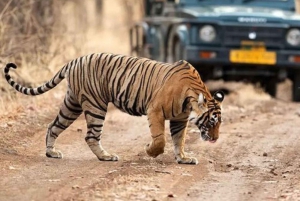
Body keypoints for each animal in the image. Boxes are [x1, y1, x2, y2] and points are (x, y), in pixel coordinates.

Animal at [4, 53, 225, 165]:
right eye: (212, 121)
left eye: (219, 123)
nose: (215, 139)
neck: (191, 97)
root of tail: (74, 60)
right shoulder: (155, 110)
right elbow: (160, 139)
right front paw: (150, 150)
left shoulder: (180, 119)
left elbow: (179, 140)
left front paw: (183, 158)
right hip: (96, 105)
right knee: (91, 136)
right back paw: (106, 156)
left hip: (72, 104)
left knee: (53, 126)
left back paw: (51, 152)